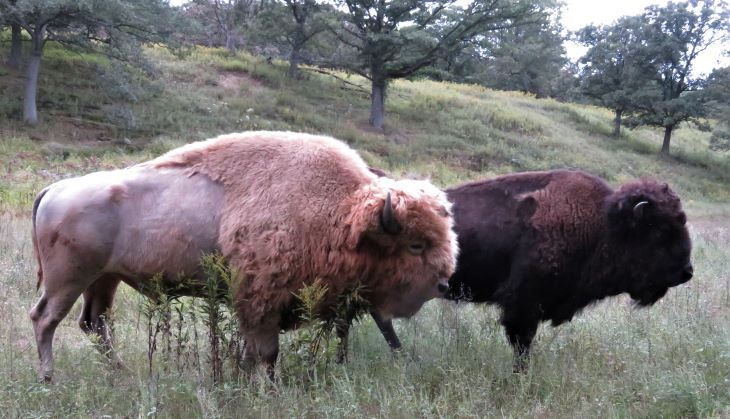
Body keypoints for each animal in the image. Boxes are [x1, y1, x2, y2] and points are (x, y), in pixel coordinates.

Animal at [29, 133, 456, 382]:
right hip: (68, 278)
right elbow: (267, 352)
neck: (340, 213)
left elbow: (252, 351)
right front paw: (268, 388)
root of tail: (54, 188)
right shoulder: (261, 299)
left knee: (93, 323)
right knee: (45, 318)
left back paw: (121, 372)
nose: (442, 283)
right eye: (416, 244)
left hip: (104, 279)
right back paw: (49, 377)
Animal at [338, 169, 692, 370]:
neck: (601, 223)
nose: (686, 272)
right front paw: (520, 379)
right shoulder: (523, 306)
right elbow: (522, 345)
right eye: (660, 230)